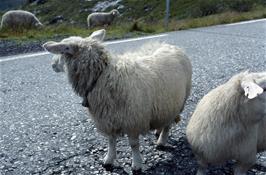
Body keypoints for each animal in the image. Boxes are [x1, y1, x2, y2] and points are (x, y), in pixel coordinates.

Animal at [43, 29, 192, 172]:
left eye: (62, 50)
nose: (52, 65)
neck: (103, 75)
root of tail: (169, 45)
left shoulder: (133, 120)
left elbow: (133, 144)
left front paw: (136, 164)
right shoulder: (107, 117)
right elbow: (111, 141)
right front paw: (109, 160)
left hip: (177, 101)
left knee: (168, 124)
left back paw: (162, 141)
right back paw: (158, 130)